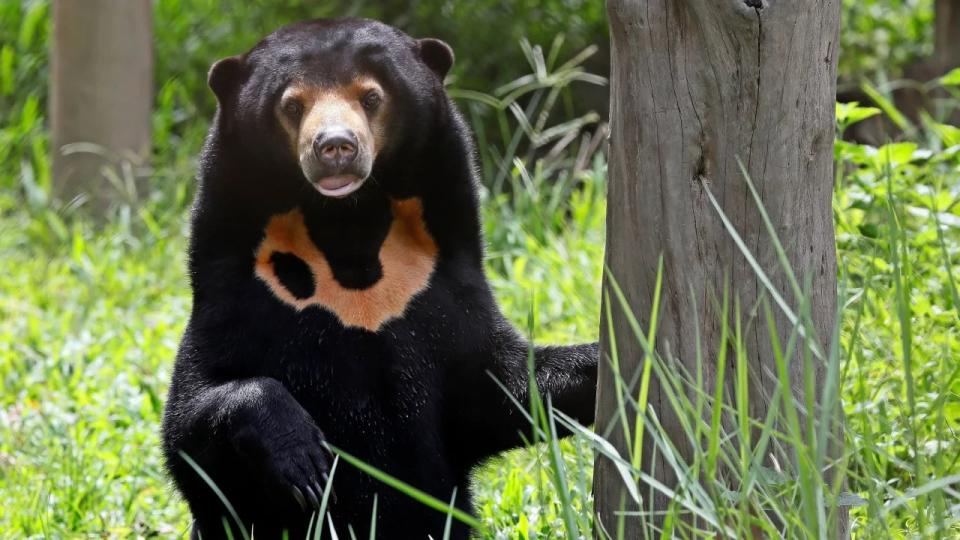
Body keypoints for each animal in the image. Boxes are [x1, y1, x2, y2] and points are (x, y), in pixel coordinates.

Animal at [163, 17, 600, 540]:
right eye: (292, 104)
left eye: (371, 97)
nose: (335, 147)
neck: (348, 228)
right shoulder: (237, 293)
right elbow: (192, 421)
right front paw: (306, 462)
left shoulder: (442, 288)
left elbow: (505, 385)